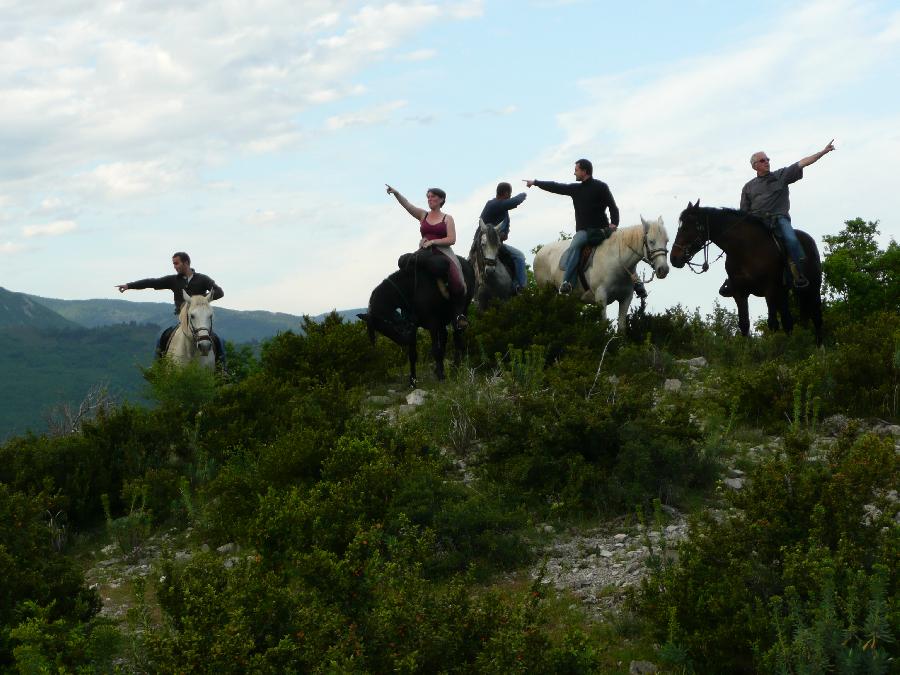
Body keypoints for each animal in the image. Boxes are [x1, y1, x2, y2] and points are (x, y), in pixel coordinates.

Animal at [356, 252, 478, 386]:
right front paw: (413, 381)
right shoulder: (413, 325)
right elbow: (413, 355)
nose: (404, 340)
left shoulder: (432, 324)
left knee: (457, 338)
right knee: (445, 337)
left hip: (461, 310)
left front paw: (441, 376)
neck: (412, 289)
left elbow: (435, 350)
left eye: (385, 322)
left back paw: (455, 368)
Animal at [536, 218, 668, 332]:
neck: (616, 263)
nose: (664, 269)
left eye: (667, 241)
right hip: (546, 291)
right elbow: (604, 325)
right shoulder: (601, 297)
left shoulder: (626, 298)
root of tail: (540, 252)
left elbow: (621, 327)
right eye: (651, 241)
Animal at [668, 202, 824, 346]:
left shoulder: (770, 290)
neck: (746, 249)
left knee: (816, 317)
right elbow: (744, 324)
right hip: (784, 293)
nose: (674, 258)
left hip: (812, 289)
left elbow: (772, 323)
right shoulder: (739, 292)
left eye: (687, 227)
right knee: (789, 320)